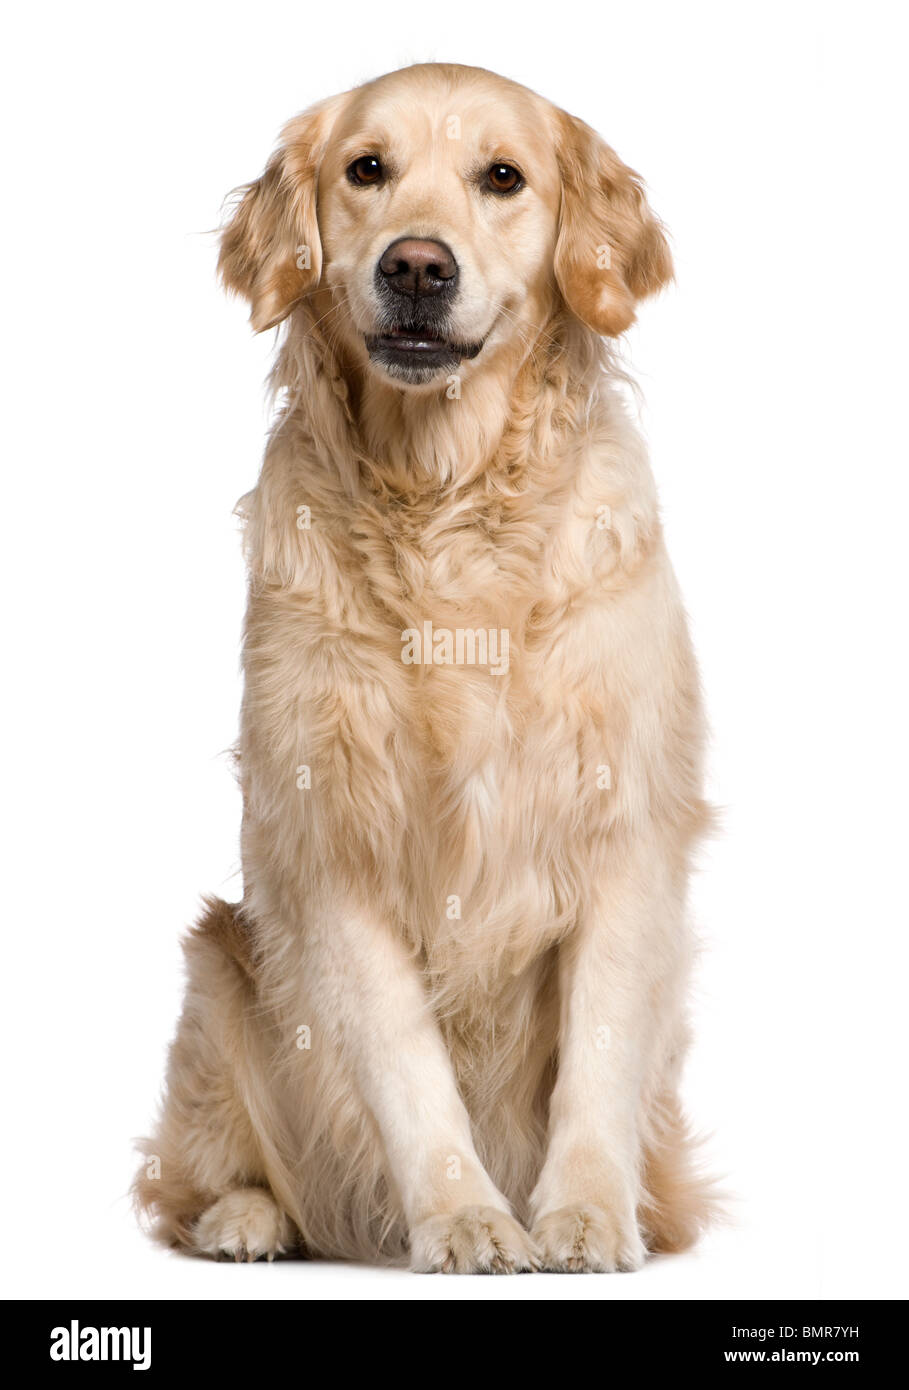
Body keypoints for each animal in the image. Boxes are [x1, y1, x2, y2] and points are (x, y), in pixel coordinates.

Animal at [135, 62, 717, 1273]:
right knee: (195, 1176)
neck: (445, 505)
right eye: (367, 168)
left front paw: (583, 1216)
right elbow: (407, 1070)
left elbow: (598, 1055)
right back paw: (248, 1218)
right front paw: (466, 1220)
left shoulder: (624, 831)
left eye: (503, 176)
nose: (415, 265)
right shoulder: (329, 846)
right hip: (217, 970)